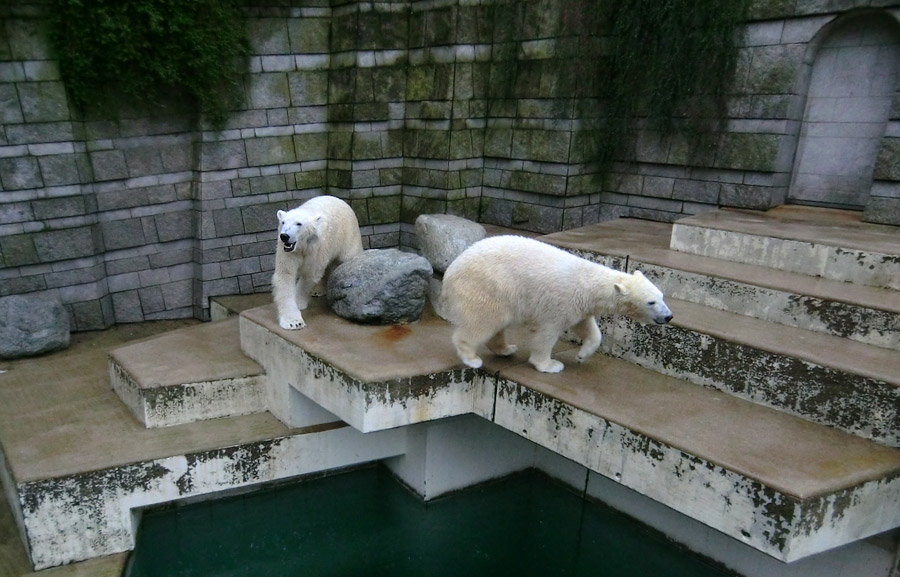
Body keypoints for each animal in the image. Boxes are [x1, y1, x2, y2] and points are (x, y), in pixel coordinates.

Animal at [270, 196, 362, 328]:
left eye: (298, 223)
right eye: (283, 222)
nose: (285, 236)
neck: (302, 246)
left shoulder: (317, 248)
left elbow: (310, 275)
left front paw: (298, 303)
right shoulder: (288, 252)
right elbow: (285, 275)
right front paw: (293, 322)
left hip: (348, 235)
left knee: (347, 257)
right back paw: (318, 291)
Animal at [440, 235, 672, 374]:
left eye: (662, 296)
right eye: (651, 302)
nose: (669, 316)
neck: (588, 282)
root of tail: (450, 271)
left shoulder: (580, 306)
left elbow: (588, 328)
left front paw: (582, 355)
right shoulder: (560, 303)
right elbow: (546, 334)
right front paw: (550, 365)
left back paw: (506, 349)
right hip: (487, 288)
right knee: (482, 322)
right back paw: (472, 358)